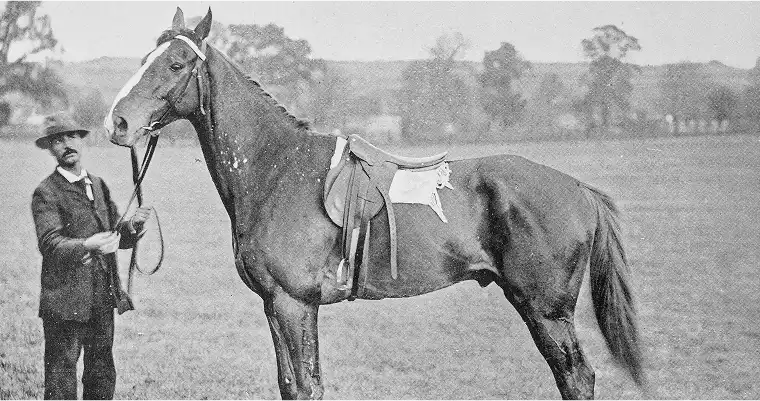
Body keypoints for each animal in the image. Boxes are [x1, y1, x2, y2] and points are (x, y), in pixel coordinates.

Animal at [104, 8, 643, 401]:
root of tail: (579, 190)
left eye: (175, 64)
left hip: (545, 310)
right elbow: (290, 385)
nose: (118, 123)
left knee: (577, 378)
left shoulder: (295, 303)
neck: (276, 168)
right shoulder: (274, 305)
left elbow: (307, 387)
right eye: (143, 58)